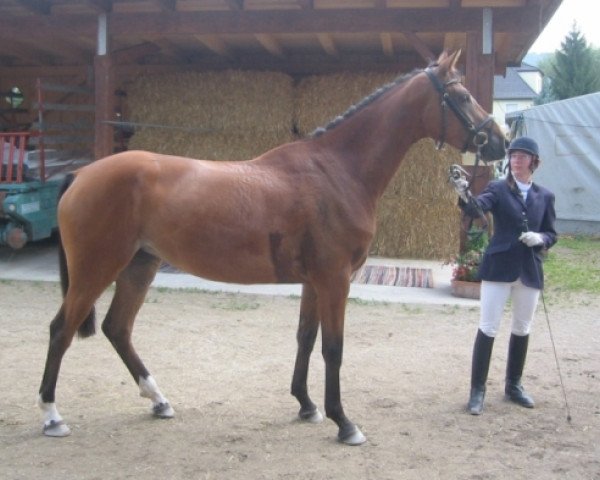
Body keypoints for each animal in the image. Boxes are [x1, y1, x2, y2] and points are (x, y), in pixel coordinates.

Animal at [38, 50, 506, 444]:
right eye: (462, 96)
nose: (499, 142)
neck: (337, 170)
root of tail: (81, 175)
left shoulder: (314, 282)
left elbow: (305, 338)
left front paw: (306, 405)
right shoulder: (335, 280)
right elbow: (333, 348)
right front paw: (344, 422)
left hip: (140, 266)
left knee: (118, 328)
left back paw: (158, 400)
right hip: (96, 270)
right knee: (61, 329)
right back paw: (52, 415)